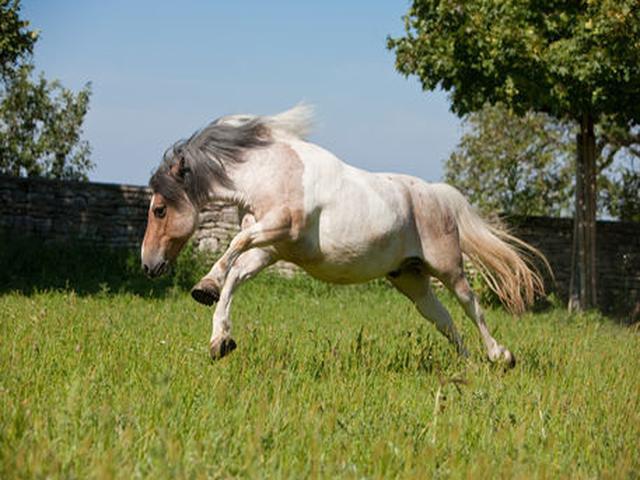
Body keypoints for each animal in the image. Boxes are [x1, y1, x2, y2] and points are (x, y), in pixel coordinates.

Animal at [141, 105, 548, 367]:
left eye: (159, 209)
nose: (148, 265)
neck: (268, 173)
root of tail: (438, 194)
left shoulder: (279, 225)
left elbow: (234, 247)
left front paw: (205, 287)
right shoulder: (271, 248)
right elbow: (235, 275)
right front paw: (219, 340)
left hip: (448, 269)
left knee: (471, 305)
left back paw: (501, 356)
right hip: (410, 279)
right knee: (442, 318)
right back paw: (467, 363)